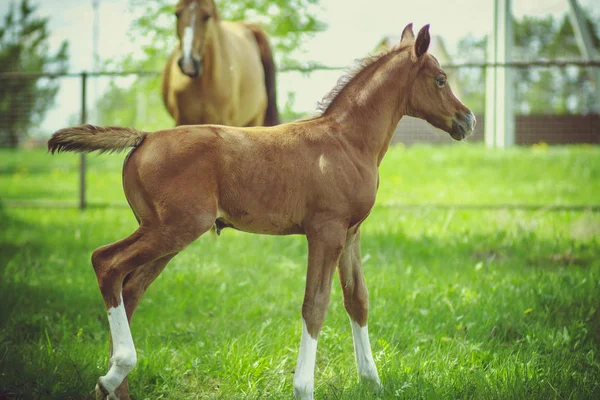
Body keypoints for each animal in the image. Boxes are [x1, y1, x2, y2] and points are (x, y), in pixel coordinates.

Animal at [49, 25, 474, 400]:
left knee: (131, 286)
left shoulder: (351, 232)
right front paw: (303, 388)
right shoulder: (325, 231)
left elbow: (357, 299)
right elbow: (315, 305)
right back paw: (116, 370)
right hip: (174, 228)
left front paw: (373, 384)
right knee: (107, 262)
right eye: (440, 79)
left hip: (167, 232)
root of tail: (145, 136)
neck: (347, 141)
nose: (467, 119)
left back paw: (116, 386)